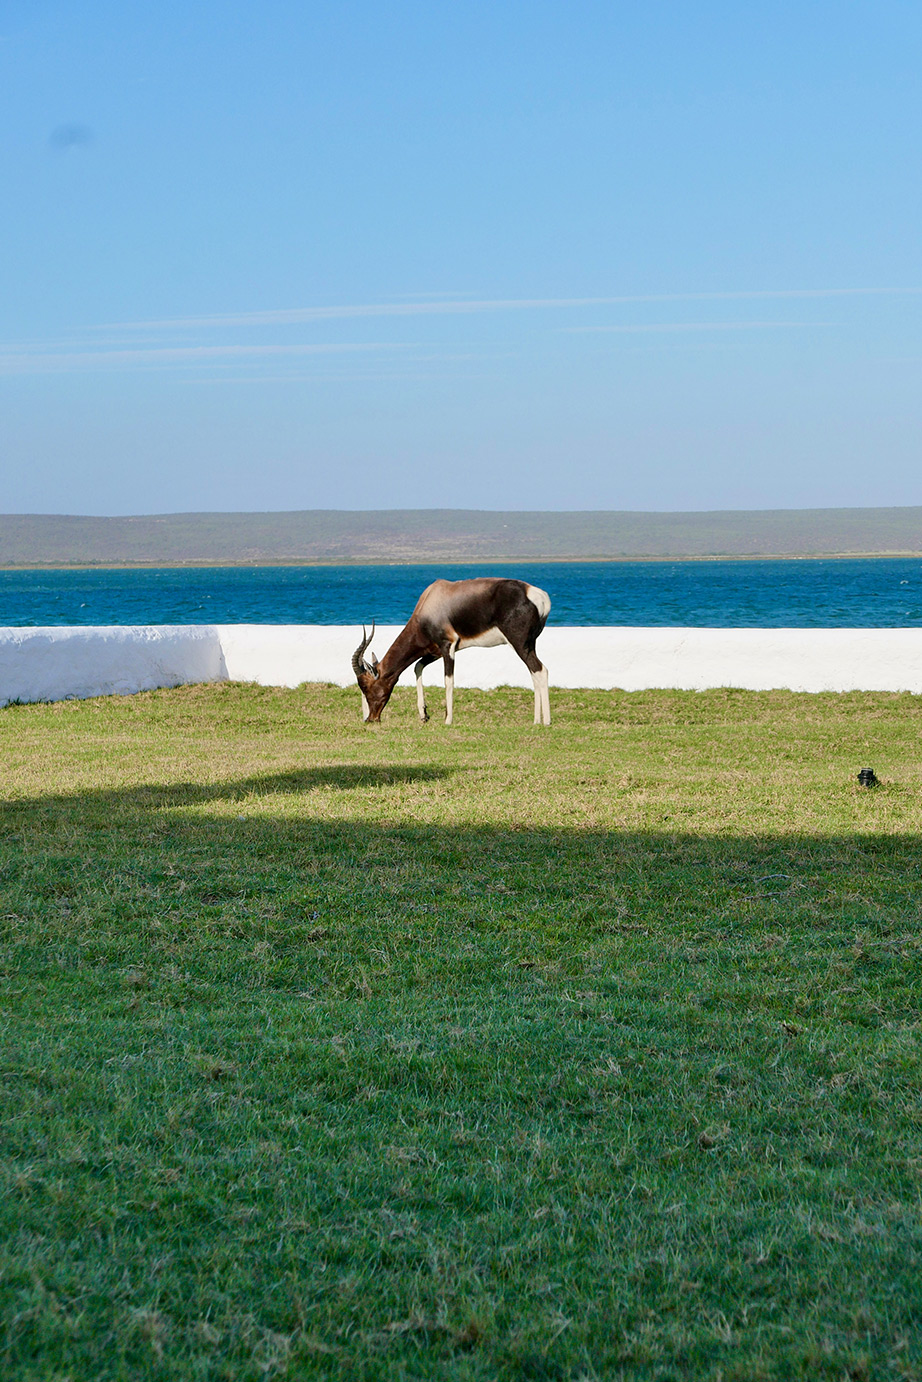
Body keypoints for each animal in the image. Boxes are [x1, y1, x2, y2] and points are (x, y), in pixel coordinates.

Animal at [353, 574, 552, 729]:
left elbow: (448, 680)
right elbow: (417, 667)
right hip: (530, 644)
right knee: (534, 673)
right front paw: (424, 715)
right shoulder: (434, 651)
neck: (431, 599)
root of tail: (539, 596)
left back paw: (546, 721)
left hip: (519, 644)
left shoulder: (447, 646)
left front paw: (447, 719)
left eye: (366, 687)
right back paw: (536, 720)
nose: (370, 719)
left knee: (540, 670)